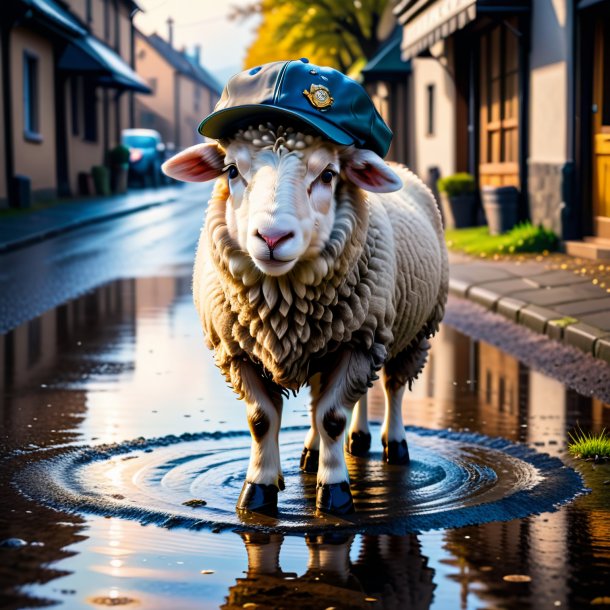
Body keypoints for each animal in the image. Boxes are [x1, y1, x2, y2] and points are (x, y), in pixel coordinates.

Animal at [162, 122, 446, 512]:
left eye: (328, 174)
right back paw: (333, 447)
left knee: (393, 387)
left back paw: (394, 445)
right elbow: (262, 420)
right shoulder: (236, 353)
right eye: (232, 171)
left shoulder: (359, 344)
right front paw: (258, 490)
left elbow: (332, 417)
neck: (282, 305)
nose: (272, 237)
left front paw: (335, 491)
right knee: (334, 399)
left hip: (410, 334)